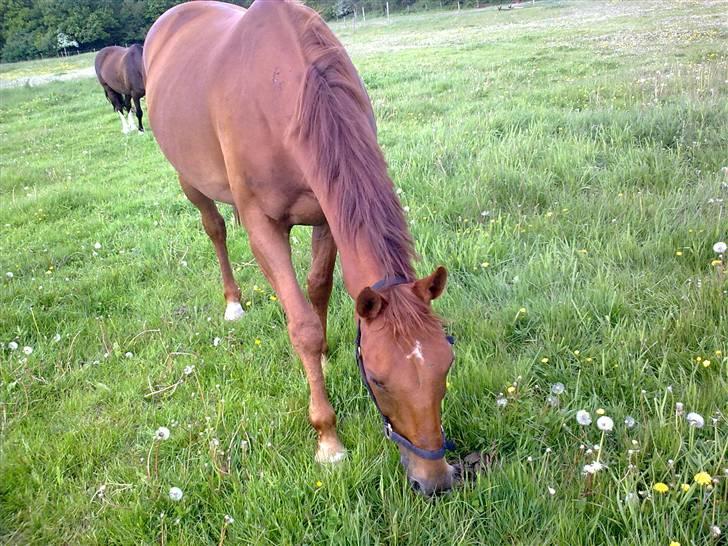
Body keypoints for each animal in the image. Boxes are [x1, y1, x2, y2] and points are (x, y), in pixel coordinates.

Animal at [145, 0, 458, 492]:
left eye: (446, 365)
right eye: (378, 379)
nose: (435, 480)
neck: (286, 88)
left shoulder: (328, 215)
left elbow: (318, 288)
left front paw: (326, 360)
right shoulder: (263, 226)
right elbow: (302, 326)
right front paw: (328, 439)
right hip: (189, 180)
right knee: (215, 229)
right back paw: (233, 302)